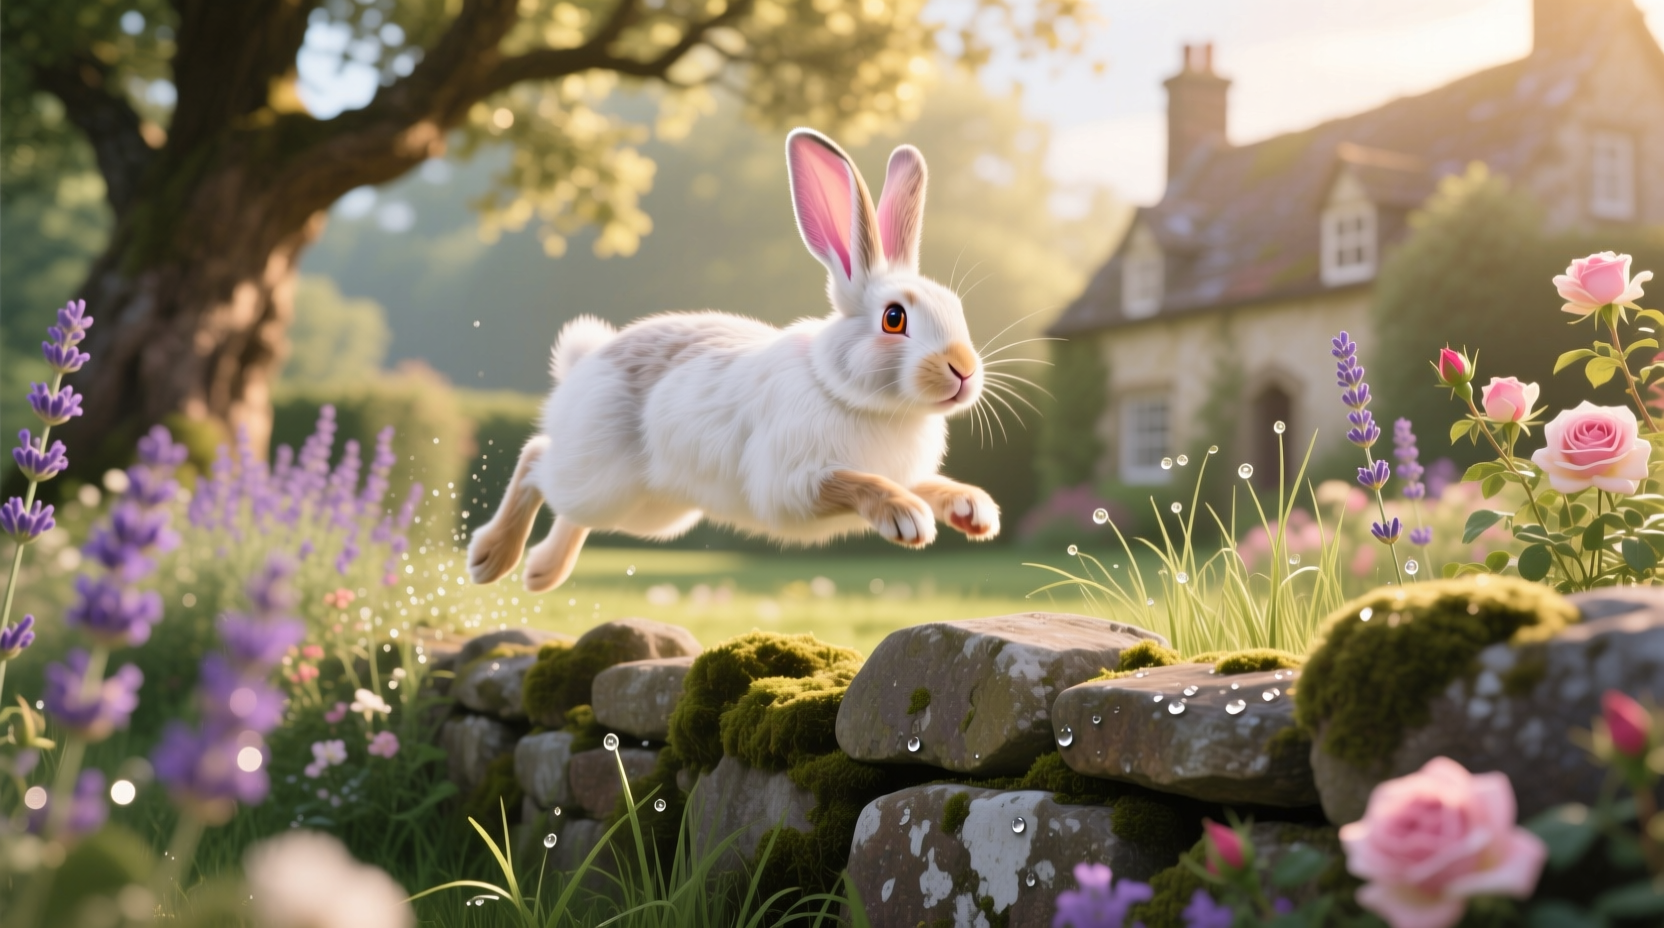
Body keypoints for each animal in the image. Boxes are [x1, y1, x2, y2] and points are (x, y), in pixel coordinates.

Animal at [467, 127, 1000, 593]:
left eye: (956, 308)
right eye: (894, 318)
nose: (964, 371)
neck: (844, 389)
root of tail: (583, 364)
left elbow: (927, 483)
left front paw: (973, 510)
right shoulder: (795, 480)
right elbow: (857, 481)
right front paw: (906, 517)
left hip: (652, 513)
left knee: (568, 504)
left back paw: (541, 574)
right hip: (599, 479)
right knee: (536, 460)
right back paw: (489, 559)